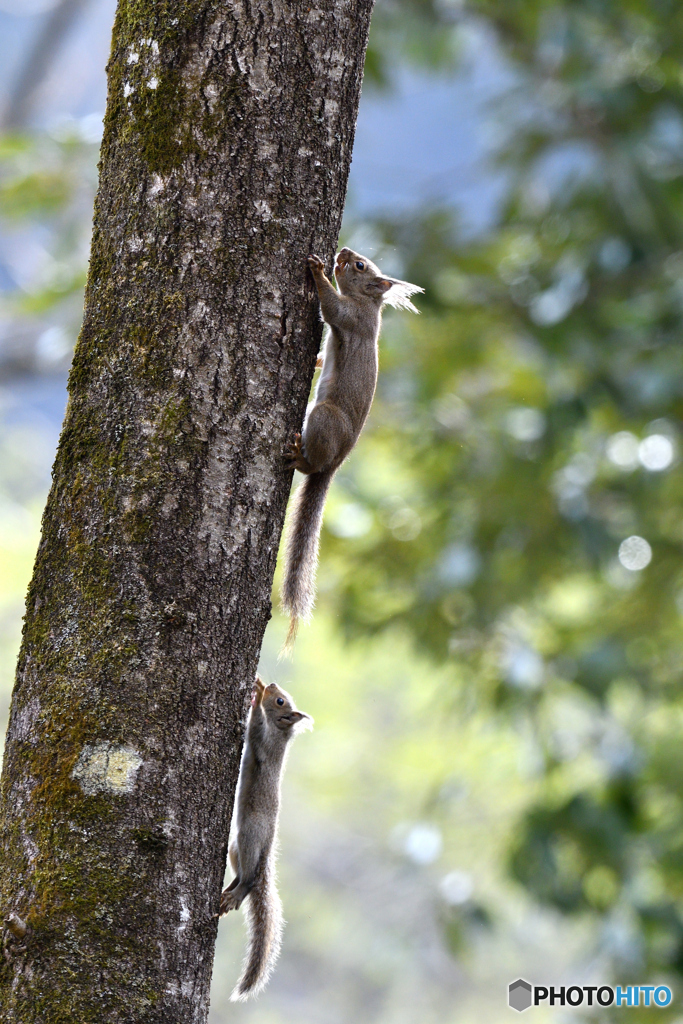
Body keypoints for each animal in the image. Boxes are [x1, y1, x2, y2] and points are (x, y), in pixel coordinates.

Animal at [220, 671, 313, 999]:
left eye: (281, 700)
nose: (271, 685)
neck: (282, 733)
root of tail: (268, 849)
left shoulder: (264, 738)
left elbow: (256, 725)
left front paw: (257, 694)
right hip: (236, 847)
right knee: (242, 874)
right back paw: (228, 891)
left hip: (250, 836)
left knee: (249, 880)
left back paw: (237, 893)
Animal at [278, 246, 421, 647]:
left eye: (360, 265)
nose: (342, 251)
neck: (368, 305)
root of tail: (337, 462)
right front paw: (315, 360)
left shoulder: (351, 317)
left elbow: (330, 308)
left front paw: (317, 271)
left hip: (325, 417)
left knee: (313, 460)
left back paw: (300, 458)